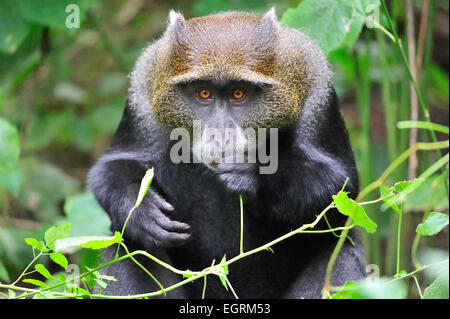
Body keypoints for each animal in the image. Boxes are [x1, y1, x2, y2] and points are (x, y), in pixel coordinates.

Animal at [87, 10, 366, 300]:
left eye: (238, 93)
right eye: (204, 93)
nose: (220, 135)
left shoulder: (317, 92)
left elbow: (340, 187)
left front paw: (252, 172)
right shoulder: (143, 92)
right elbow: (114, 165)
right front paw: (139, 207)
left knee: (339, 253)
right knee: (128, 246)